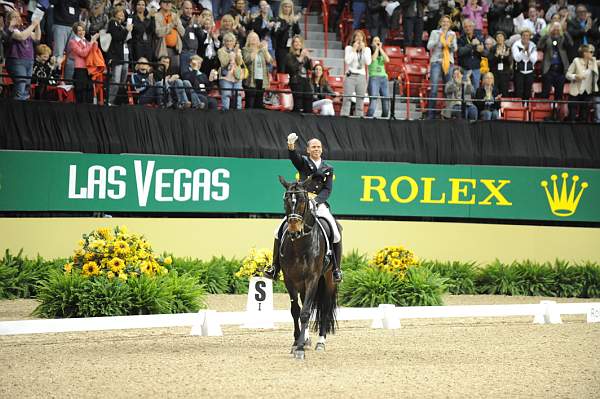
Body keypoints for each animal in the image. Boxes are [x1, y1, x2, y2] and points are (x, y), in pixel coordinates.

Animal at [276, 177, 338, 360]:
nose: (294, 231)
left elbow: (305, 313)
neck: (299, 244)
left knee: (325, 308)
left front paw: (300, 349)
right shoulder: (289, 279)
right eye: (286, 200)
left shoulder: (312, 279)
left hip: (329, 279)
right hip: (301, 282)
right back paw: (307, 339)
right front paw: (297, 342)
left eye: (303, 201)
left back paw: (320, 342)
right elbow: (296, 311)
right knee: (306, 304)